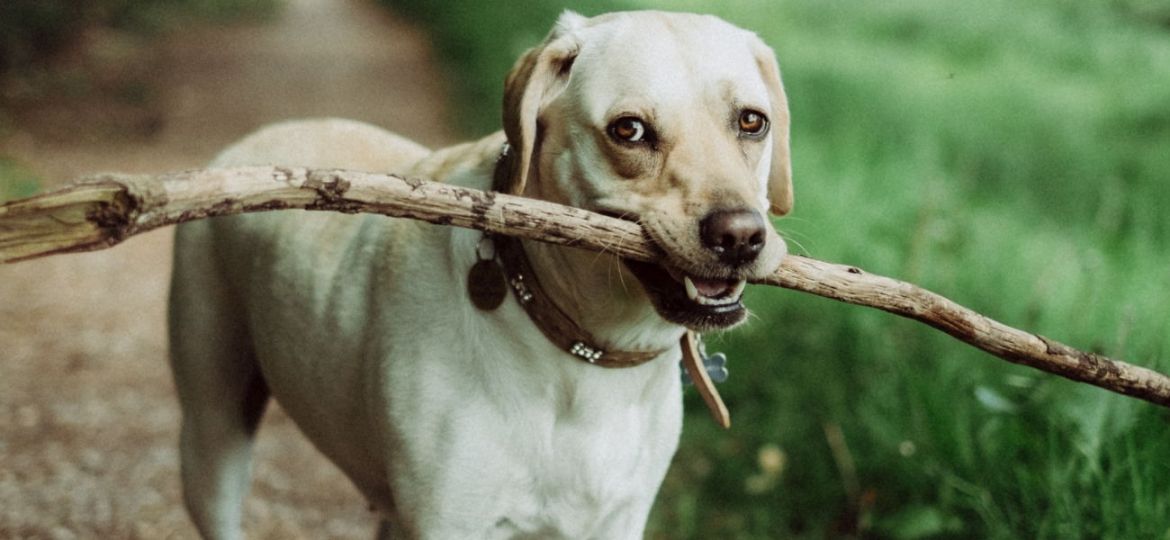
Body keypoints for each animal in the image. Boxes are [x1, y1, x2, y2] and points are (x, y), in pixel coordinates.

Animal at [169, 9, 795, 540]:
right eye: (630, 131)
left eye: (752, 122)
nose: (740, 236)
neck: (582, 352)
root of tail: (249, 142)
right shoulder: (449, 520)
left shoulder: (616, 520)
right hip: (212, 434)